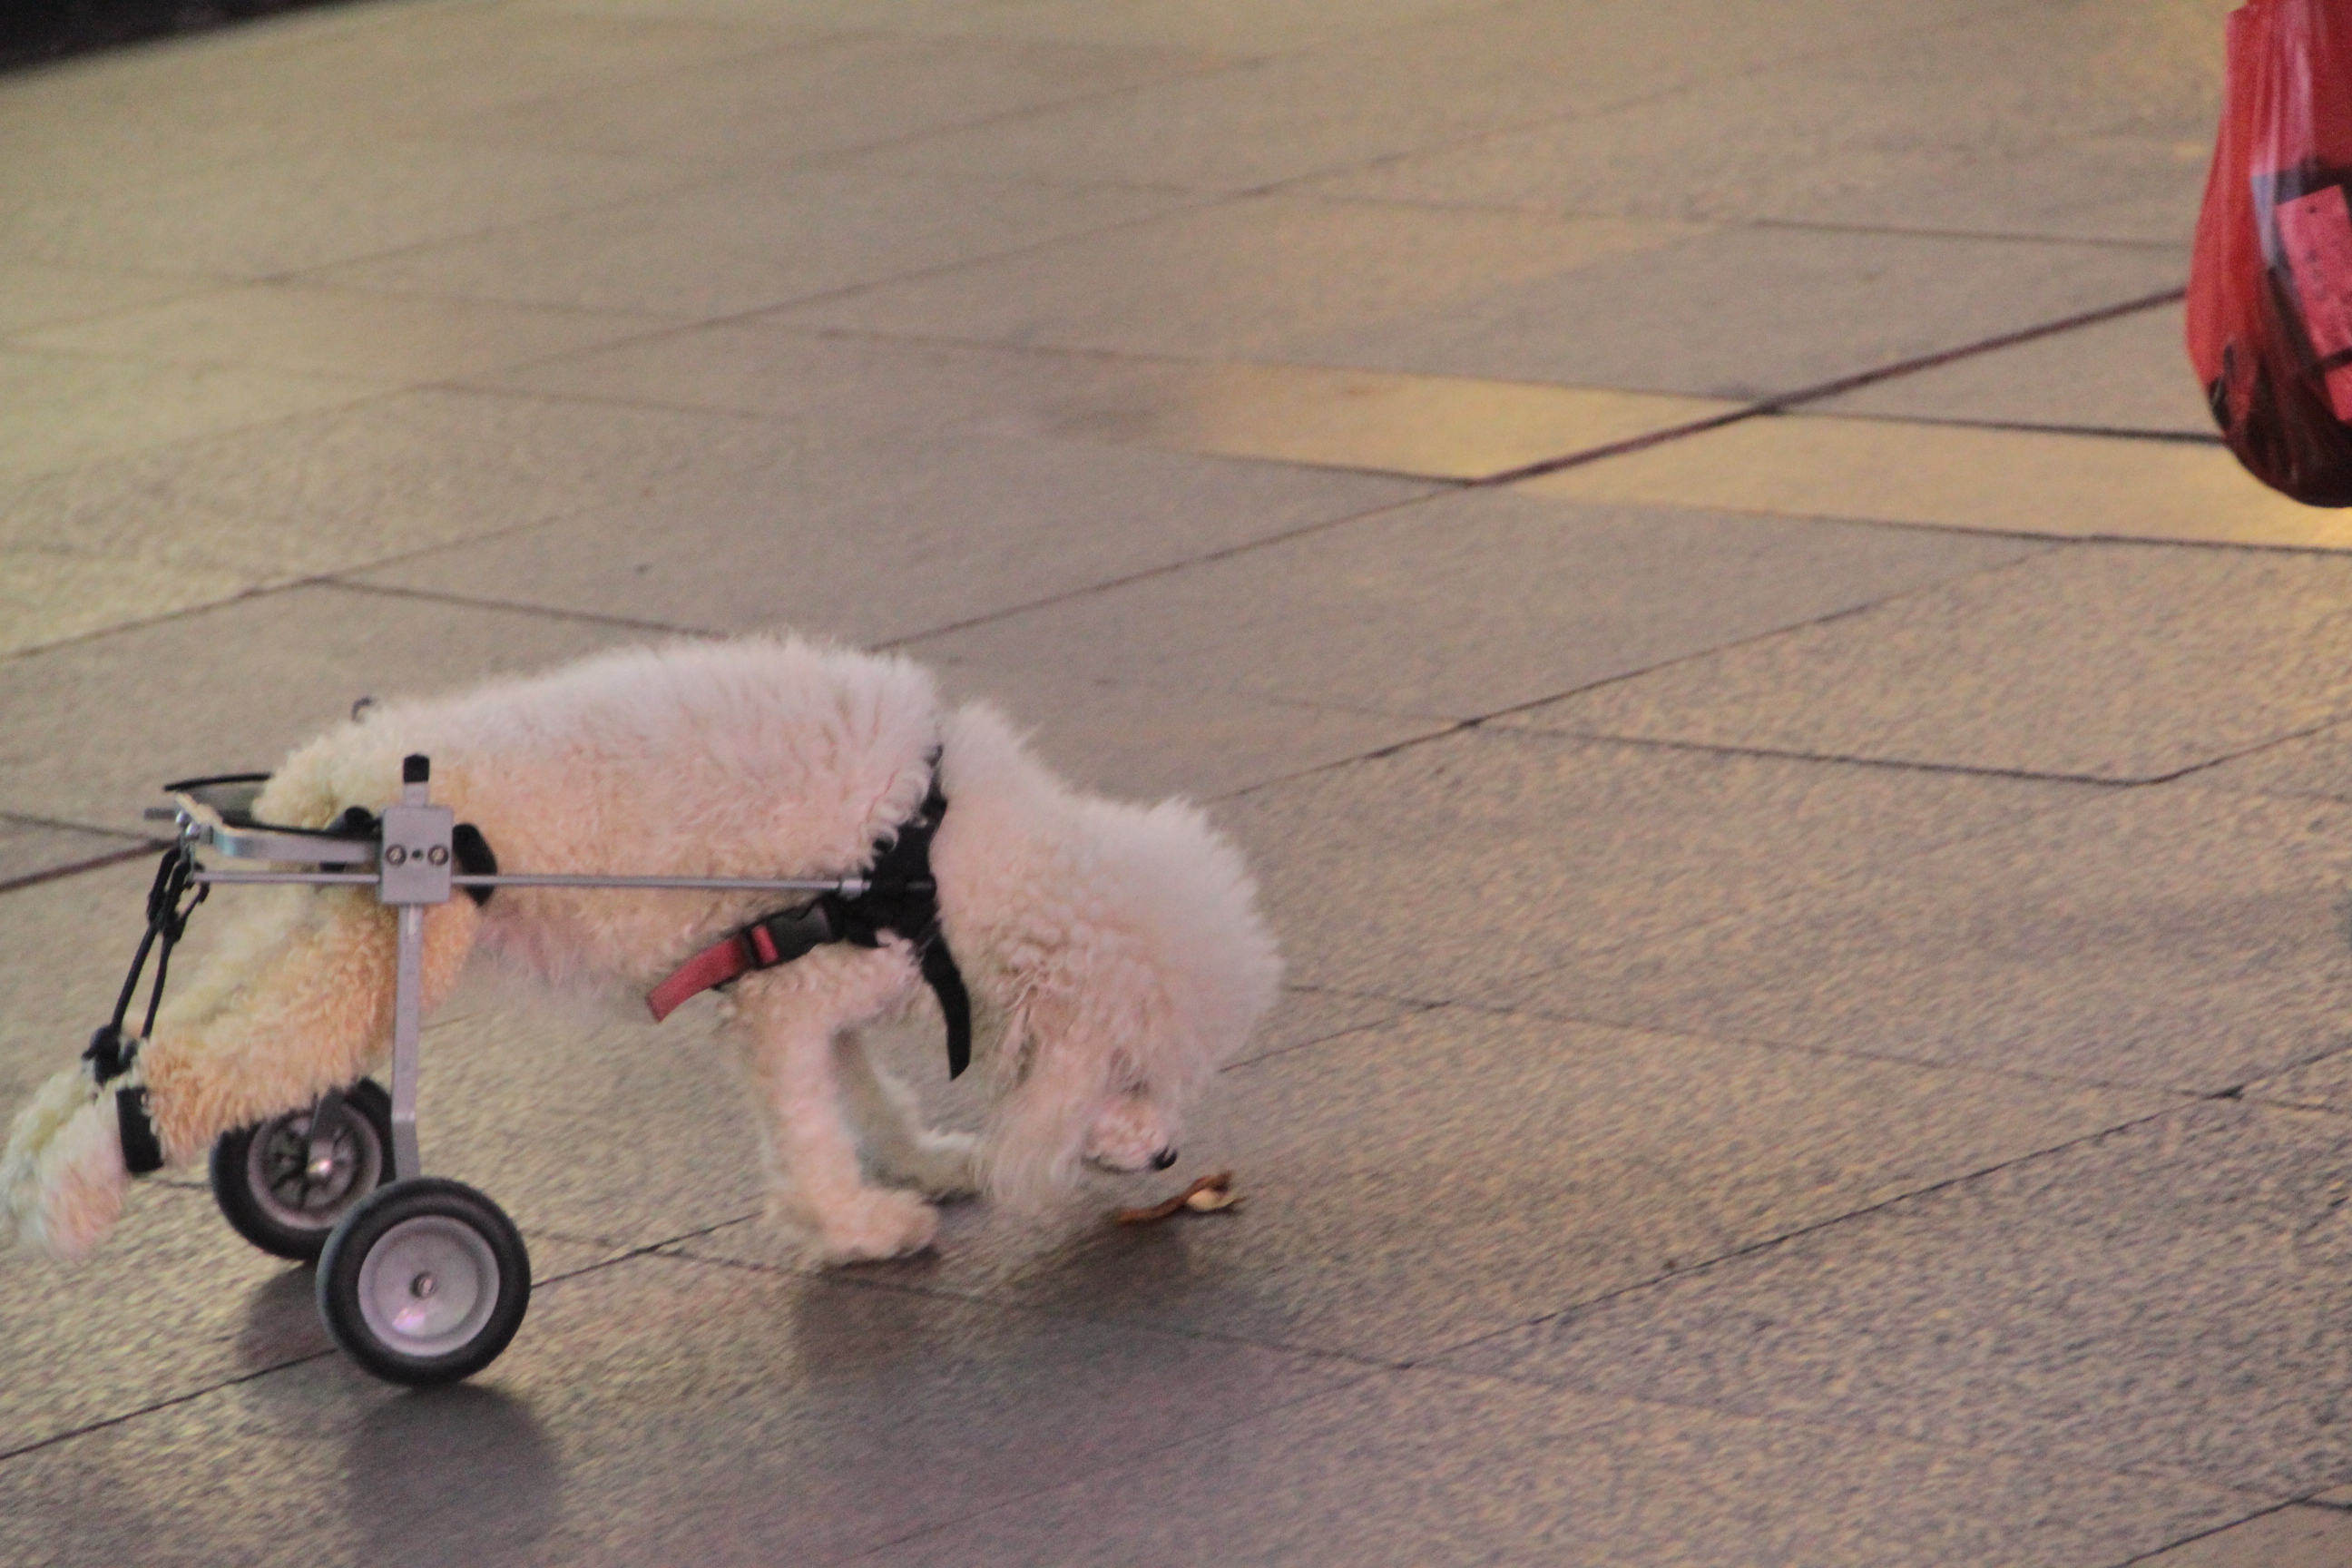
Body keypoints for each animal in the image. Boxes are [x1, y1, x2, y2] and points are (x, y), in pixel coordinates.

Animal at [5, 634, 1289, 1259]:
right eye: (1135, 1077)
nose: (1172, 1156)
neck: (945, 853)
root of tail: (334, 774)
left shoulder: (801, 974)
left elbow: (860, 1086)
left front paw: (922, 1161)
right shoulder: (788, 997)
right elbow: (812, 1119)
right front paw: (858, 1228)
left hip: (330, 937)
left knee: (147, 1053)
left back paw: (46, 1163)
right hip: (385, 954)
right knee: (174, 1079)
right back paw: (66, 1207)